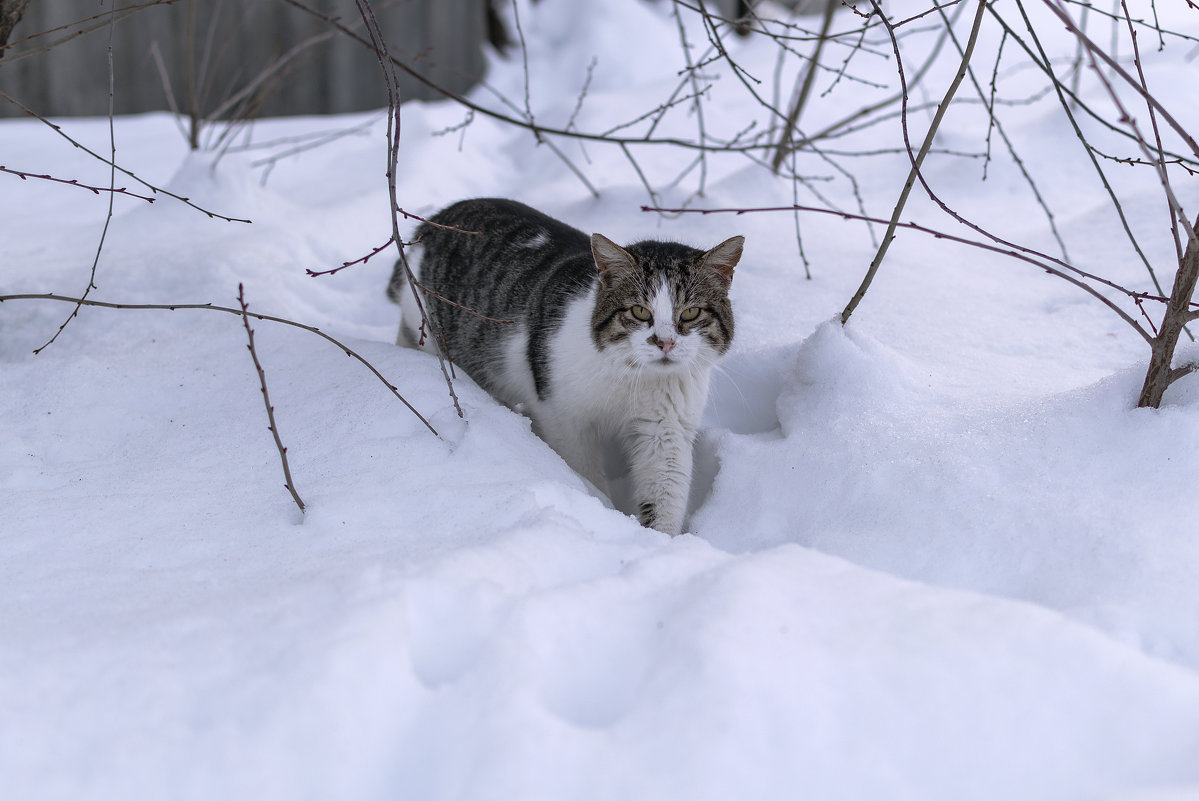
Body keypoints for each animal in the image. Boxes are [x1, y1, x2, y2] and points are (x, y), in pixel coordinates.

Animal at [388, 199, 738, 537]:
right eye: (639, 311)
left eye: (690, 313)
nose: (664, 342)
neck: (634, 378)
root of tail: (434, 220)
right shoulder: (564, 416)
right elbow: (584, 470)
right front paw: (601, 509)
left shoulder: (666, 426)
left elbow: (665, 491)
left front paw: (660, 542)